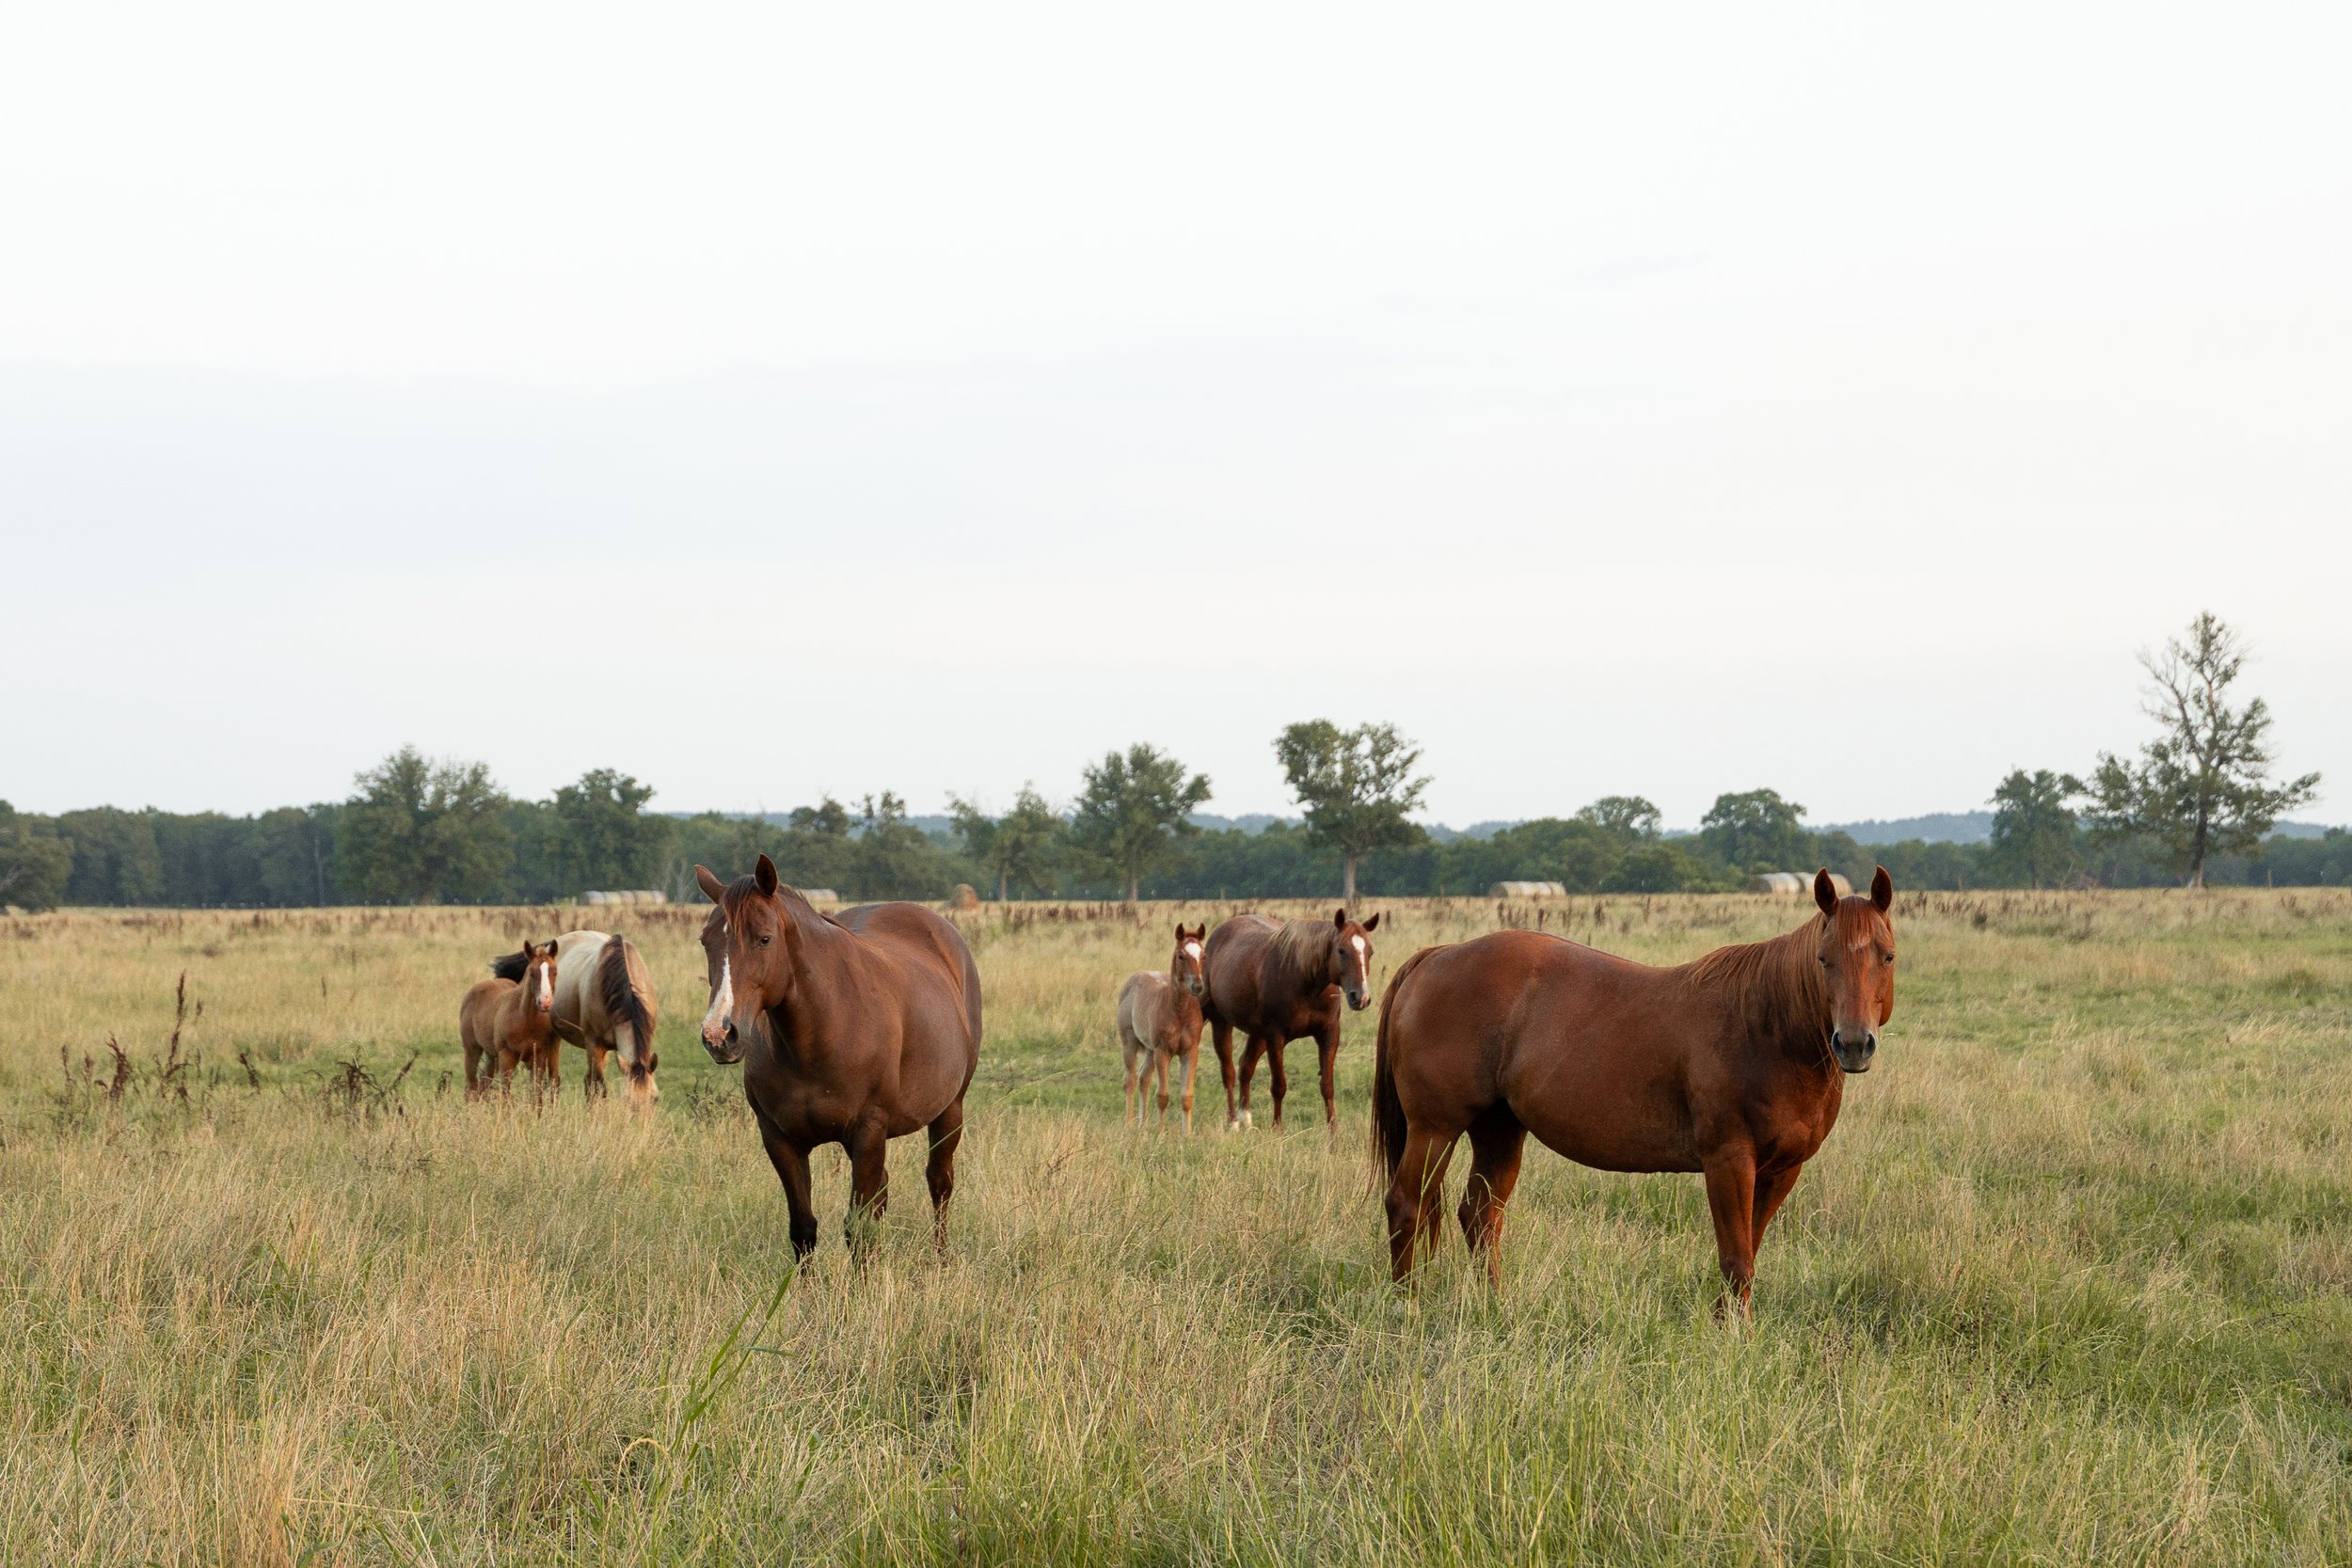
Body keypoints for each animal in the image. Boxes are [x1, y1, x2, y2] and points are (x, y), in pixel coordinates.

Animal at [460, 939, 560, 1100]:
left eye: (554, 971)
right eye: (532, 973)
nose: (545, 1002)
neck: (526, 1020)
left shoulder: (538, 1057)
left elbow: (536, 1095)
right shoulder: (506, 1057)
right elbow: (506, 1094)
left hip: (492, 1056)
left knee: (483, 1084)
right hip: (472, 1050)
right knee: (472, 1086)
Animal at [695, 855, 982, 1261]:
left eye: (764, 938)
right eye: (706, 941)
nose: (719, 1035)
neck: (819, 1036)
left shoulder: (868, 1132)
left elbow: (858, 1229)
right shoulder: (780, 1139)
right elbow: (803, 1229)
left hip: (950, 1108)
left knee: (939, 1182)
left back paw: (940, 1258)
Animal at [1117, 922, 1208, 1131]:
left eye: (1203, 955)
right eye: (1181, 955)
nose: (1197, 986)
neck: (1179, 1011)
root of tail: (1133, 978)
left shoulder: (1190, 1051)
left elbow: (1187, 1097)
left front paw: (1187, 1134)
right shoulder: (1163, 1051)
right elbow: (1162, 1096)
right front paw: (1160, 1132)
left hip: (1150, 1050)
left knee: (1144, 1079)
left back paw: (1143, 1124)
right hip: (1130, 1044)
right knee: (1130, 1080)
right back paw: (1130, 1124)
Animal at [1201, 907, 1381, 1131]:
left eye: (1370, 952)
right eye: (1341, 950)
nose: (1361, 998)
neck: (1305, 980)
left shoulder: (1329, 1033)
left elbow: (1327, 1086)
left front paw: (1333, 1133)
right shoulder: (1275, 1036)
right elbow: (1279, 1085)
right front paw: (1277, 1128)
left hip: (1258, 1034)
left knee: (1245, 1066)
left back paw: (1246, 1119)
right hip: (1221, 1022)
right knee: (1229, 1072)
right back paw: (1234, 1122)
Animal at [1373, 868, 1896, 1318]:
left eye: (1887, 956)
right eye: (1823, 959)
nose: (1853, 1043)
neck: (1764, 1027)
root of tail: (1436, 956)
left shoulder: (1782, 1170)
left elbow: (1750, 1250)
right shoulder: (1728, 1161)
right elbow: (1736, 1261)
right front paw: (1732, 1340)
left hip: (1498, 1130)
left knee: (1481, 1216)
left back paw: (1493, 1305)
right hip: (1435, 1128)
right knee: (1406, 1205)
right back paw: (1407, 1305)